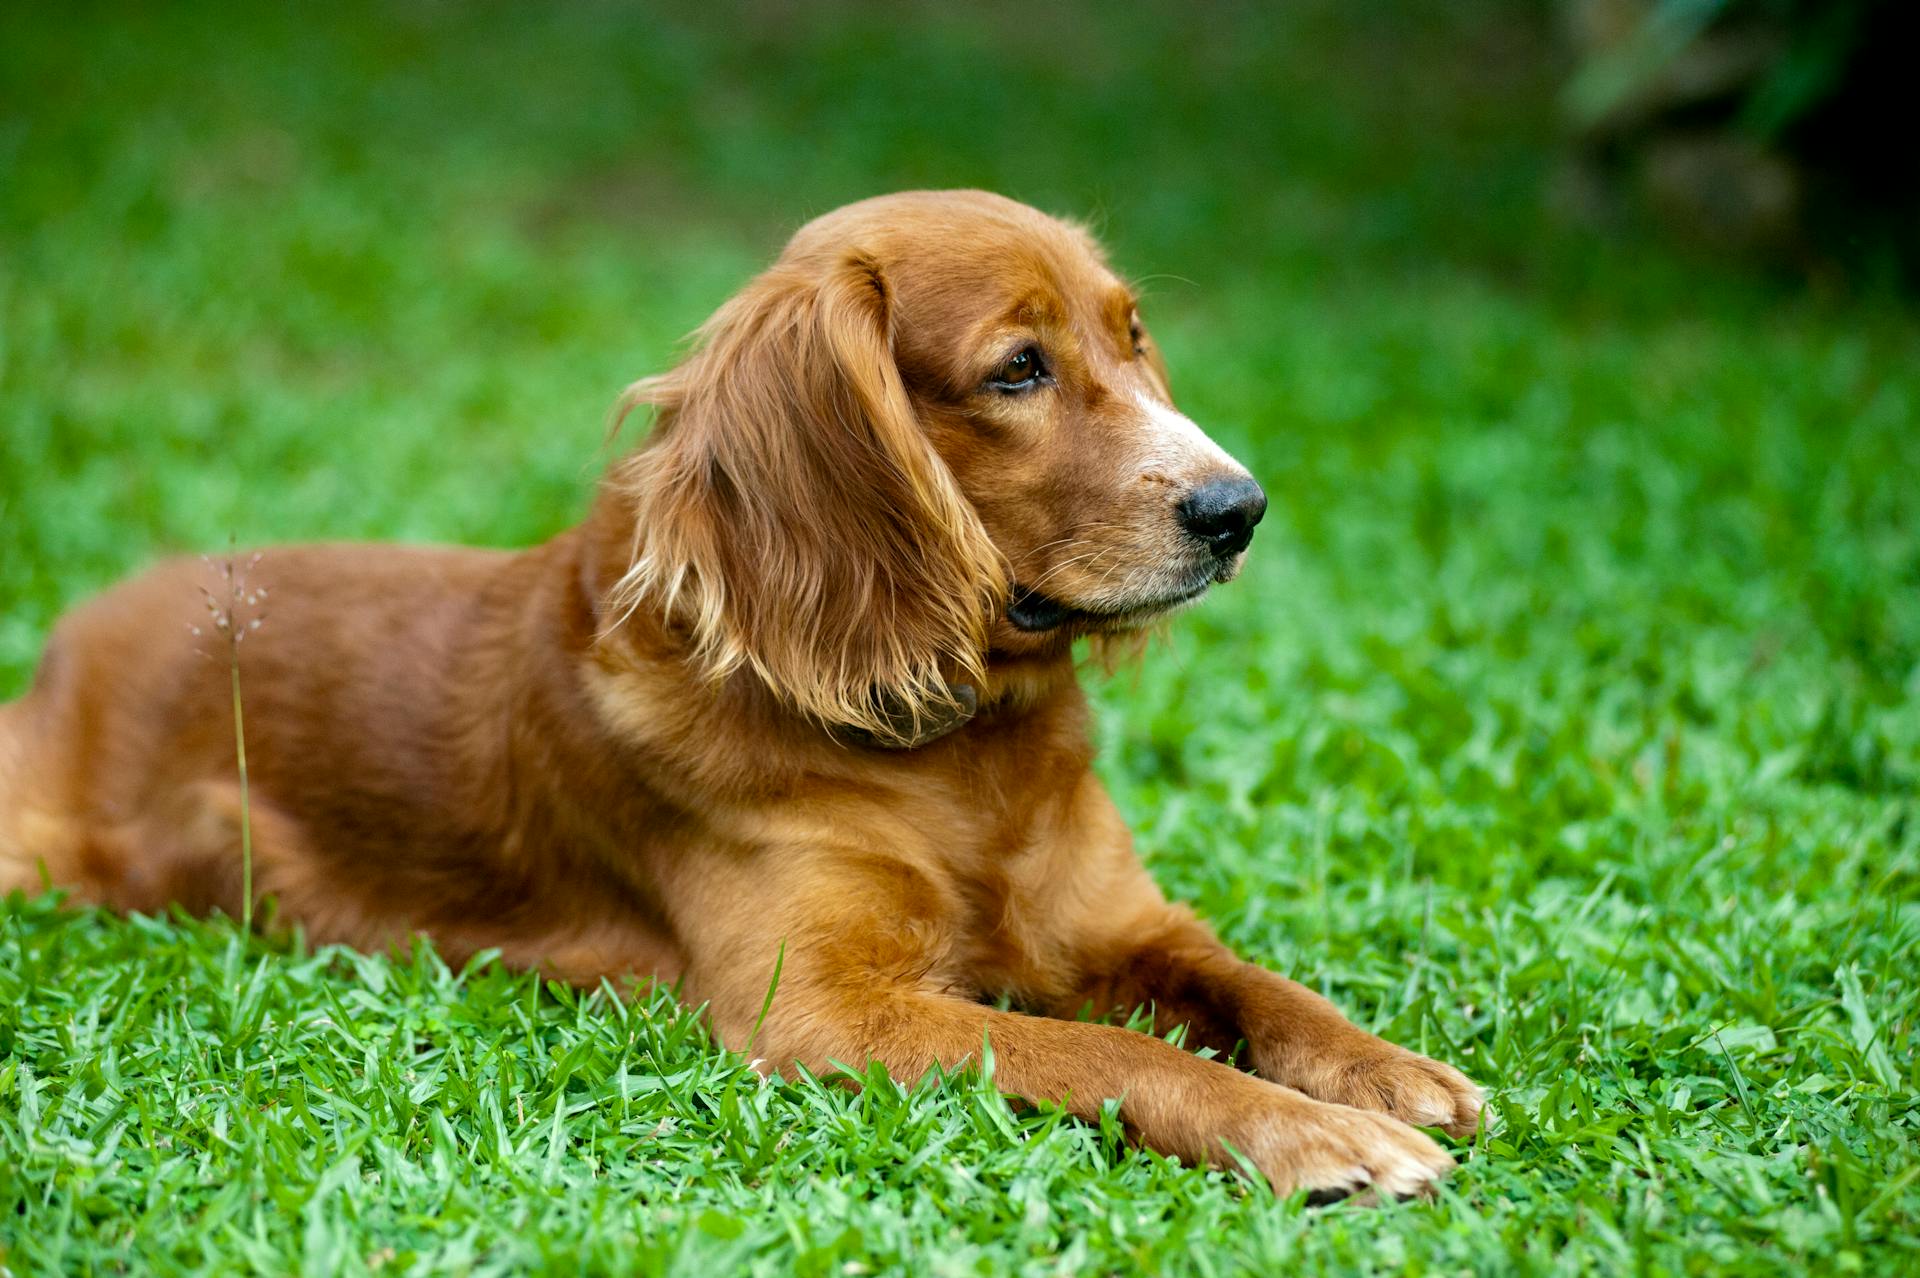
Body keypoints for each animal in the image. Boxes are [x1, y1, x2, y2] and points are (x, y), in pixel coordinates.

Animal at [0, 187, 1482, 1197]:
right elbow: (1118, 1057)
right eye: (1018, 368)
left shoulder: (1123, 922)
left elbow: (1255, 985)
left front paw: (1383, 1070)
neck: (957, 751)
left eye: (1132, 340)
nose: (1239, 510)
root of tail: (78, 633)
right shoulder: (822, 1012)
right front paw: (1318, 1136)